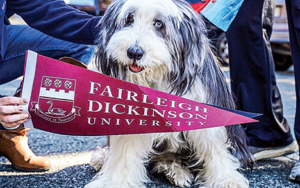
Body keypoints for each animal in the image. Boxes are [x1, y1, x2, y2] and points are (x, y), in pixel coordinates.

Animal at [85, 0, 254, 187]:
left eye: (159, 23)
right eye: (129, 19)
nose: (134, 52)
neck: (159, 75)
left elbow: (214, 147)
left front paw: (226, 179)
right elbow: (125, 152)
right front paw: (114, 181)